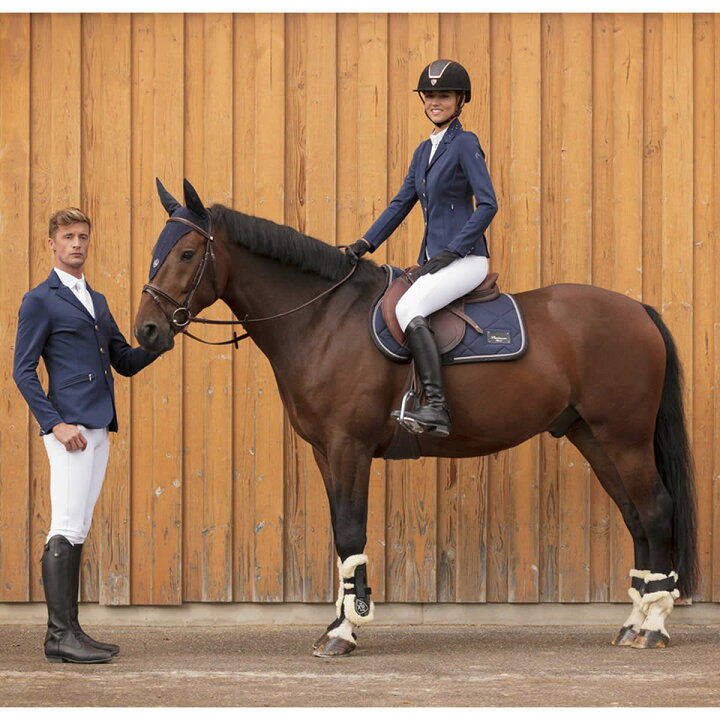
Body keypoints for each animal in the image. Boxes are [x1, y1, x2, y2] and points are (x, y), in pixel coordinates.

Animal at [134, 179, 697, 657]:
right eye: (157, 250)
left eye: (187, 254)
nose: (146, 330)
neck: (323, 318)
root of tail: (638, 311)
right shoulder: (324, 451)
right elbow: (342, 534)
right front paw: (338, 622)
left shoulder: (349, 446)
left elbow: (350, 532)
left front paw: (345, 631)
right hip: (592, 436)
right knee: (635, 517)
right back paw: (632, 622)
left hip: (623, 437)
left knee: (655, 511)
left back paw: (653, 627)